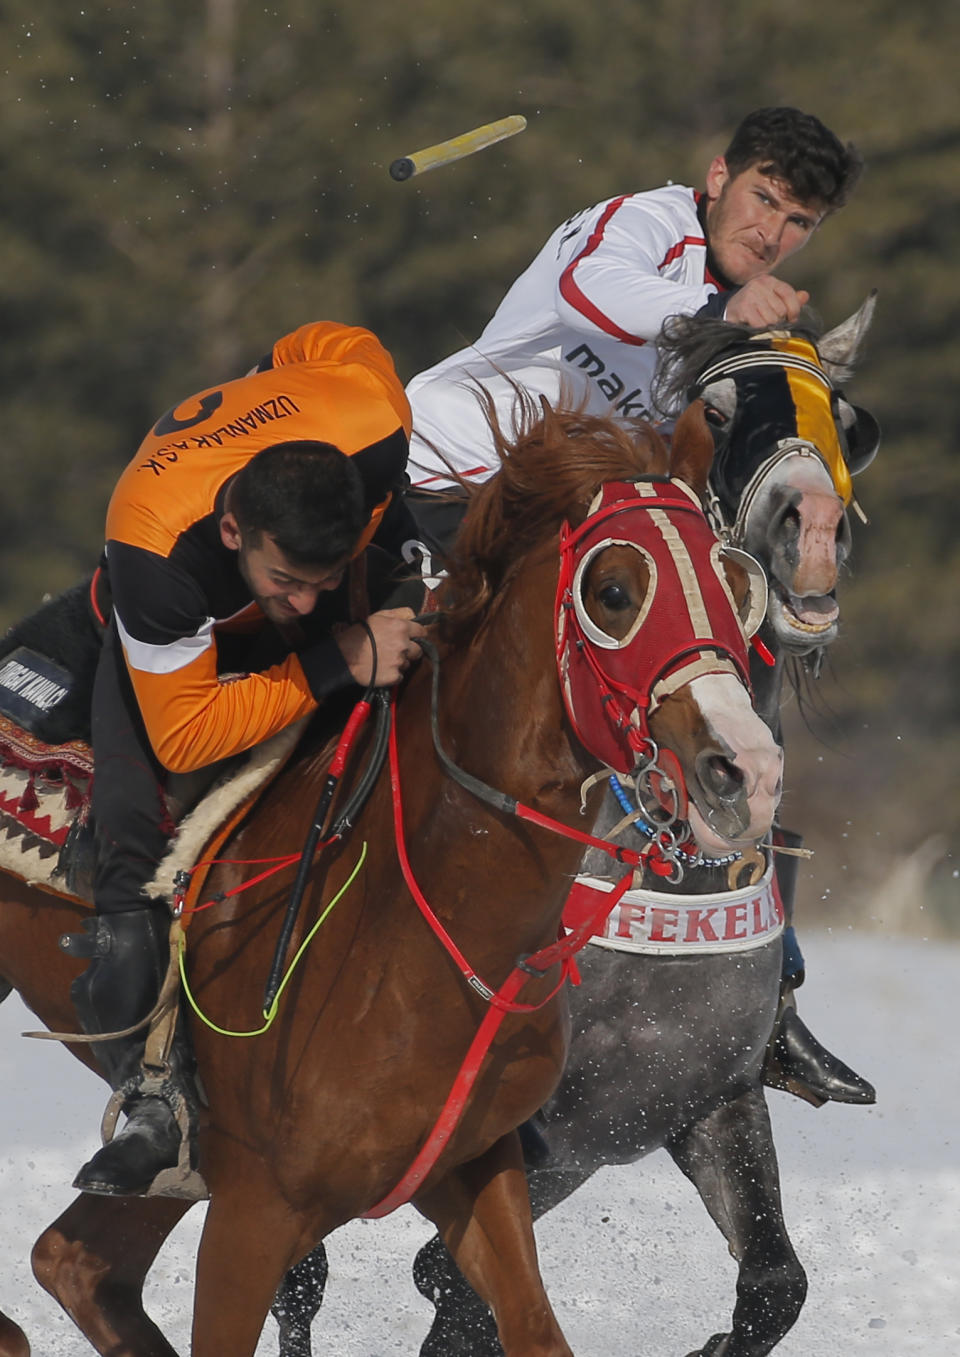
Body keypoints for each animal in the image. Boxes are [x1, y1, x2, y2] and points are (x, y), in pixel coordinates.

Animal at [0, 401, 782, 1357]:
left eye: (734, 585)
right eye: (612, 593)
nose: (745, 769)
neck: (423, 924)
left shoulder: (473, 1169)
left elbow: (525, 1324)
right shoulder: (257, 1207)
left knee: (76, 1261)